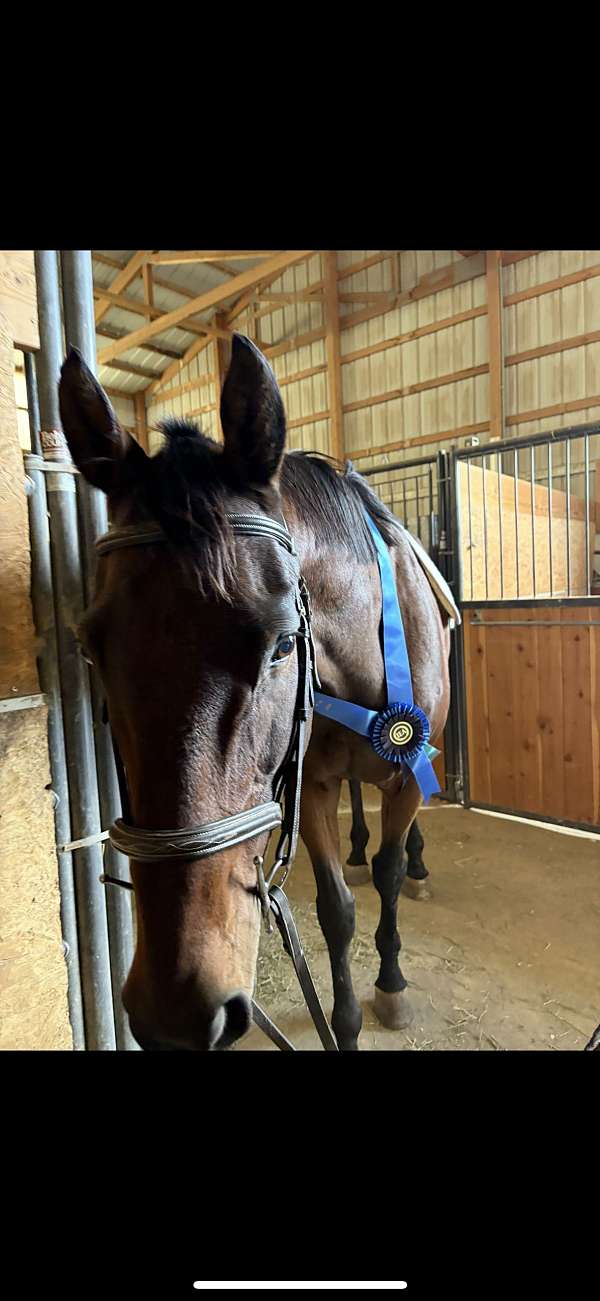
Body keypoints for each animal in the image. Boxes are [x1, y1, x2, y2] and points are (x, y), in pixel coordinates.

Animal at [58, 334, 451, 1051]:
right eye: (91, 647)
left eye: (283, 644)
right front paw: (344, 1021)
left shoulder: (406, 773)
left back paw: (414, 865)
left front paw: (390, 984)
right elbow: (335, 909)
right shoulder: (310, 781)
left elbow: (384, 878)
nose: (177, 1012)